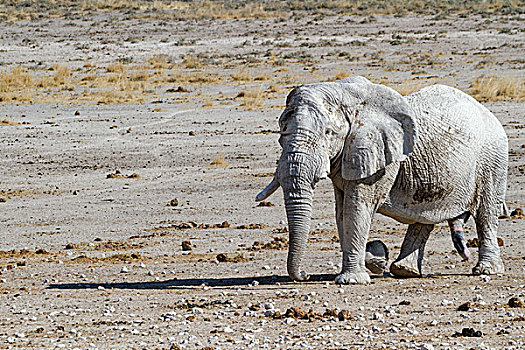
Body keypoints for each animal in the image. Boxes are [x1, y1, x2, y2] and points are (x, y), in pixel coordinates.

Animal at [256, 75, 506, 284]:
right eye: (280, 134)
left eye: (328, 133)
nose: (305, 275)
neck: (343, 95)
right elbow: (342, 211)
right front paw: (376, 258)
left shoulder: (377, 154)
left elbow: (357, 207)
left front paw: (352, 280)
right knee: (425, 216)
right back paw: (404, 271)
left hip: (492, 160)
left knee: (486, 214)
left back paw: (486, 270)